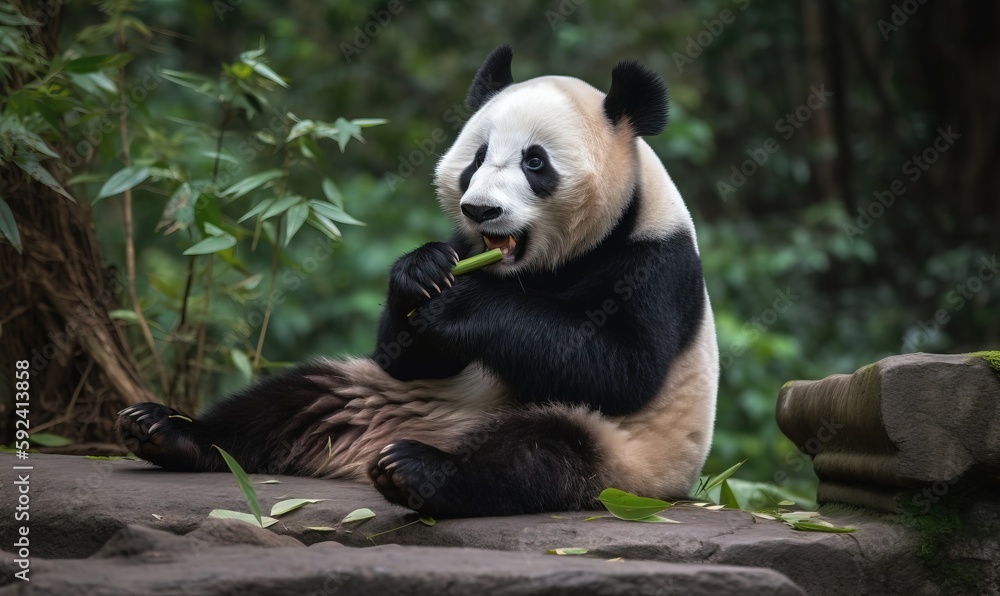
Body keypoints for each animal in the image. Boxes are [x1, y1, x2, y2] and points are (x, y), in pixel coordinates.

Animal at [116, 45, 719, 518]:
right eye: (477, 158)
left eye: (535, 162)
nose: (481, 209)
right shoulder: (466, 253)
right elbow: (403, 351)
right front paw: (421, 274)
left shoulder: (653, 262)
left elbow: (620, 366)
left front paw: (460, 307)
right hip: (382, 394)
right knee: (295, 398)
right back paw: (165, 431)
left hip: (621, 460)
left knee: (539, 454)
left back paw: (418, 471)